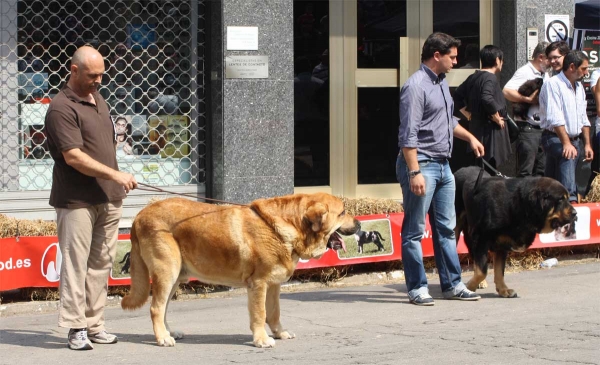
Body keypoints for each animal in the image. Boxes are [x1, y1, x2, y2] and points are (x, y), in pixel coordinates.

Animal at [119, 192, 358, 346]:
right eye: (343, 212)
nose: (358, 224)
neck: (291, 226)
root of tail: (139, 216)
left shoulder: (273, 285)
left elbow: (274, 313)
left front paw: (279, 333)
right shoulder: (258, 284)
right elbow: (260, 314)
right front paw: (261, 339)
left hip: (176, 277)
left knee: (164, 308)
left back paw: (169, 332)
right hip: (167, 272)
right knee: (155, 308)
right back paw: (162, 338)